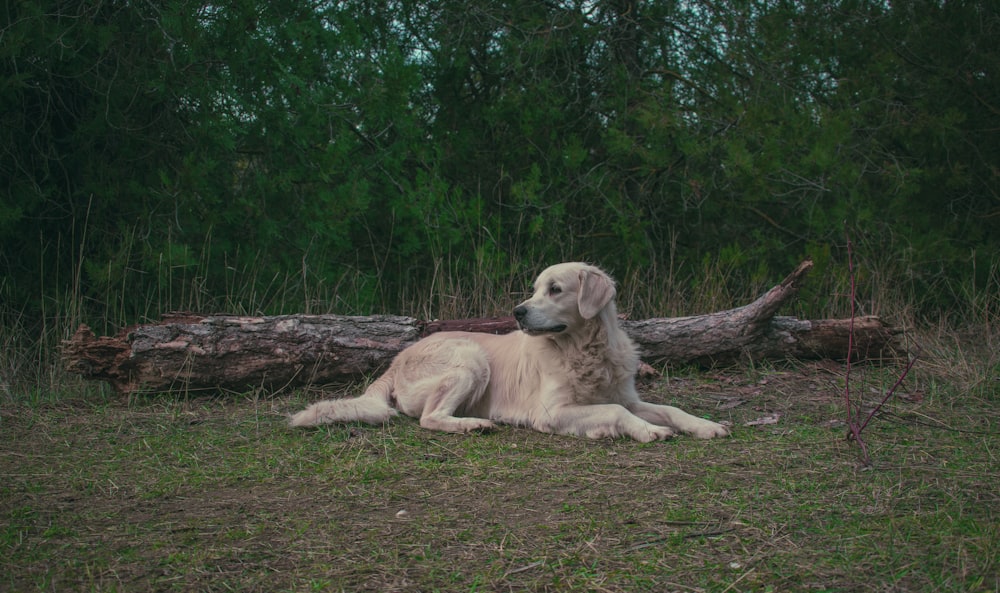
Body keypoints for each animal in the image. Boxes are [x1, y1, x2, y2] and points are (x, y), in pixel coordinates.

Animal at [290, 262, 728, 442]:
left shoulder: (625, 395)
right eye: (535, 289)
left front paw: (704, 425)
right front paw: (647, 431)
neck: (585, 349)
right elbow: (618, 413)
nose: (517, 312)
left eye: (555, 289)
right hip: (471, 359)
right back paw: (473, 424)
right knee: (429, 418)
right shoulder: (551, 411)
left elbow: (667, 408)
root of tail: (396, 361)